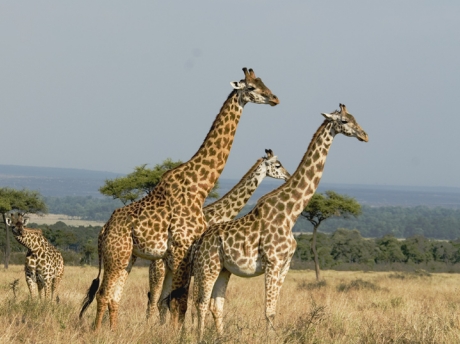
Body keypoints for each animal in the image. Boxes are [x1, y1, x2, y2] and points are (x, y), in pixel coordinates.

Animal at [146, 148, 292, 322]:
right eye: (278, 165)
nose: (288, 176)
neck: (218, 216)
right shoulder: (199, 269)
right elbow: (195, 306)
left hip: (169, 272)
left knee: (162, 302)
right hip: (159, 270)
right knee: (153, 301)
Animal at [192, 103, 368, 340]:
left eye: (355, 117)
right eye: (345, 121)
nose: (365, 135)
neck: (290, 214)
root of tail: (201, 240)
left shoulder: (285, 265)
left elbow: (274, 309)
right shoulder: (272, 263)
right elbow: (268, 311)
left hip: (223, 269)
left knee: (215, 305)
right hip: (207, 266)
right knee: (200, 303)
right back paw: (197, 336)